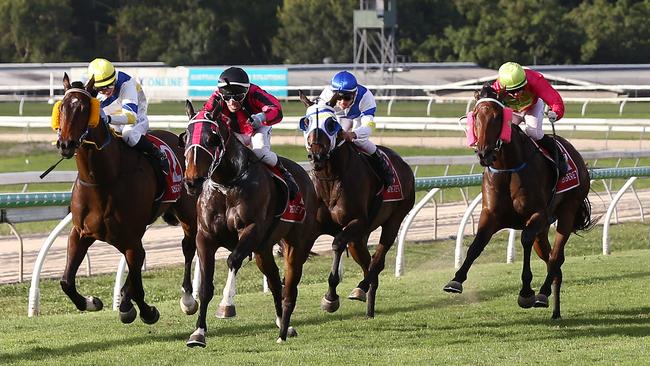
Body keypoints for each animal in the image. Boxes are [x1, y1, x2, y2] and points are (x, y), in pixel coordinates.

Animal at [53, 73, 197, 324]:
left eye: (84, 108)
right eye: (62, 107)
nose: (65, 144)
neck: (103, 180)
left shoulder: (130, 239)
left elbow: (138, 283)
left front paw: (147, 311)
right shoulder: (80, 233)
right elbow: (66, 282)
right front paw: (92, 302)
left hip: (187, 212)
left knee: (188, 247)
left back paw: (187, 299)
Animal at [181, 100, 318, 346]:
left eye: (212, 138)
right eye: (185, 136)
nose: (192, 181)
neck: (227, 184)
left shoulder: (251, 230)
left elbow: (233, 260)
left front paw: (226, 305)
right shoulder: (205, 236)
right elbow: (205, 286)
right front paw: (198, 332)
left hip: (296, 244)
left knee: (289, 286)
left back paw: (284, 330)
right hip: (263, 249)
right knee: (274, 281)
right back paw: (282, 323)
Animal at [296, 94, 412, 318]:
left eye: (331, 123)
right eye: (306, 122)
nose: (316, 156)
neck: (330, 179)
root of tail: (404, 164)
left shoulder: (356, 221)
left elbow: (336, 244)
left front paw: (330, 297)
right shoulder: (316, 226)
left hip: (394, 220)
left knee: (377, 261)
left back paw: (361, 288)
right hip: (359, 239)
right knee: (368, 263)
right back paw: (369, 306)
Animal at [440, 84, 592, 318]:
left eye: (498, 116)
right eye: (475, 115)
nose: (484, 153)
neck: (507, 168)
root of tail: (577, 156)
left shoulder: (537, 215)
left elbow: (525, 240)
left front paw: (527, 292)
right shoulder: (490, 215)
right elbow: (477, 244)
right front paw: (456, 280)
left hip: (567, 211)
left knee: (556, 257)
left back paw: (542, 293)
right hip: (543, 230)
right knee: (553, 262)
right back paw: (554, 309)